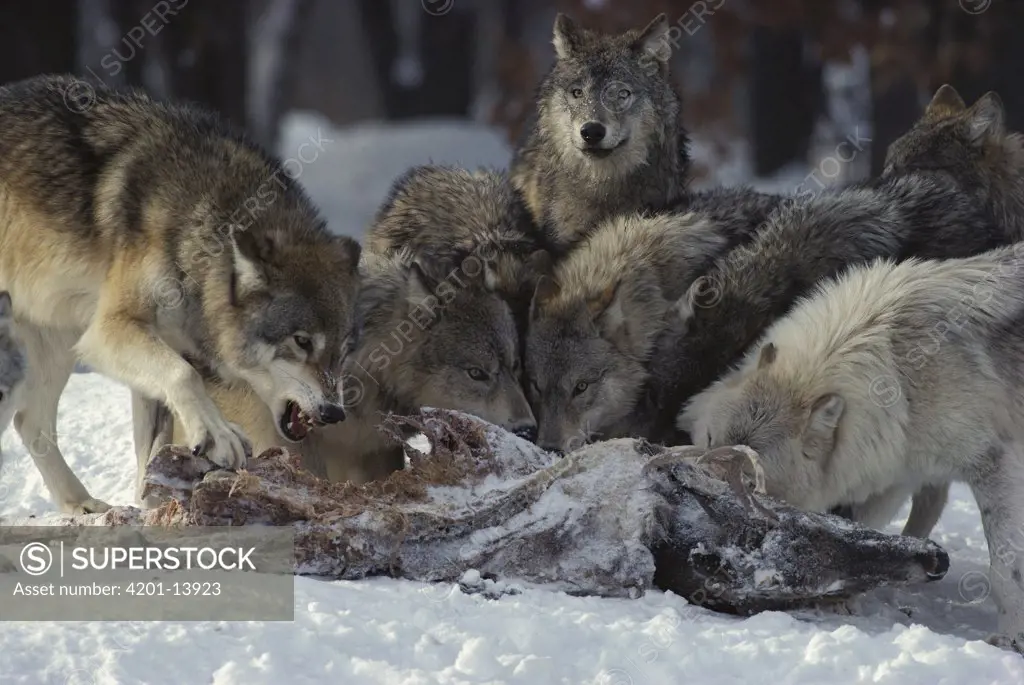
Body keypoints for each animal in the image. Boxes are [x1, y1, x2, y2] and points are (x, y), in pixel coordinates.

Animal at [0, 76, 362, 511]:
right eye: (302, 342)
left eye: (343, 350)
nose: (334, 412)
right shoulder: (111, 329)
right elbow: (184, 376)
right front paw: (219, 435)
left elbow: (149, 450)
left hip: (56, 338)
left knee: (29, 420)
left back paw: (81, 504)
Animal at [679, 242, 1024, 651]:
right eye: (710, 441)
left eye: (750, 481)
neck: (903, 372)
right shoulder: (895, 467)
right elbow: (863, 530)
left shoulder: (994, 466)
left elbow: (1005, 570)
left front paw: (1009, 637)